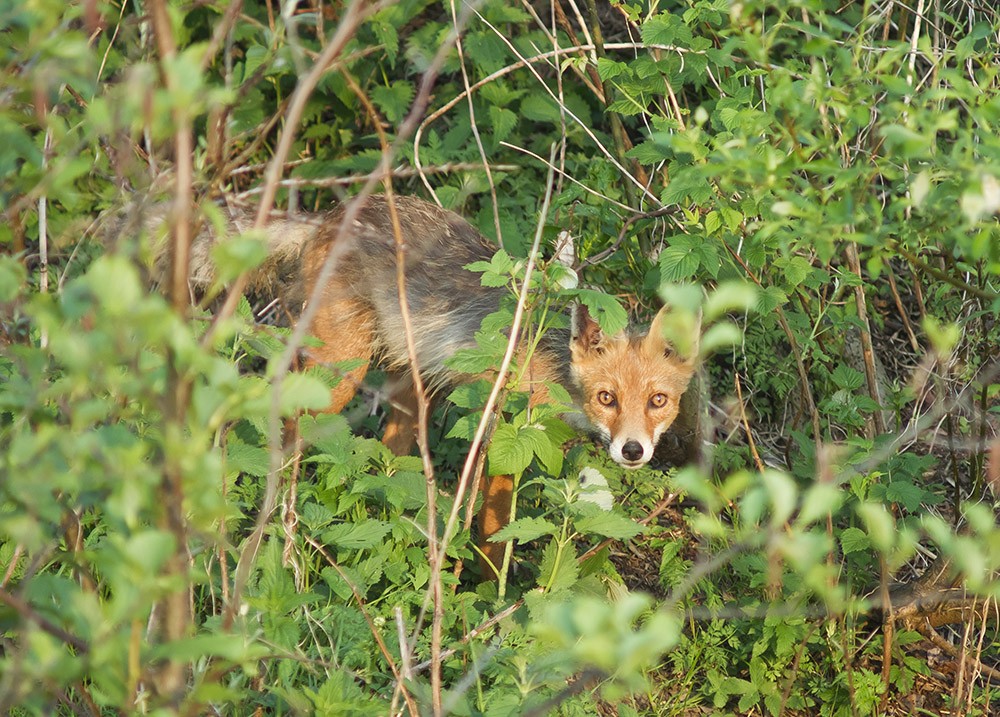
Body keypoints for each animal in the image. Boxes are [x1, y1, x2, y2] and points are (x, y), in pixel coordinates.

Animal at [145, 193, 700, 580]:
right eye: (608, 398)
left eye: (658, 401)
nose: (633, 451)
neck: (549, 362)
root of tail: (334, 211)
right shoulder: (501, 433)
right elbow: (492, 532)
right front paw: (490, 597)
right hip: (340, 375)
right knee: (284, 422)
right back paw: (278, 526)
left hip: (410, 393)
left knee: (388, 467)